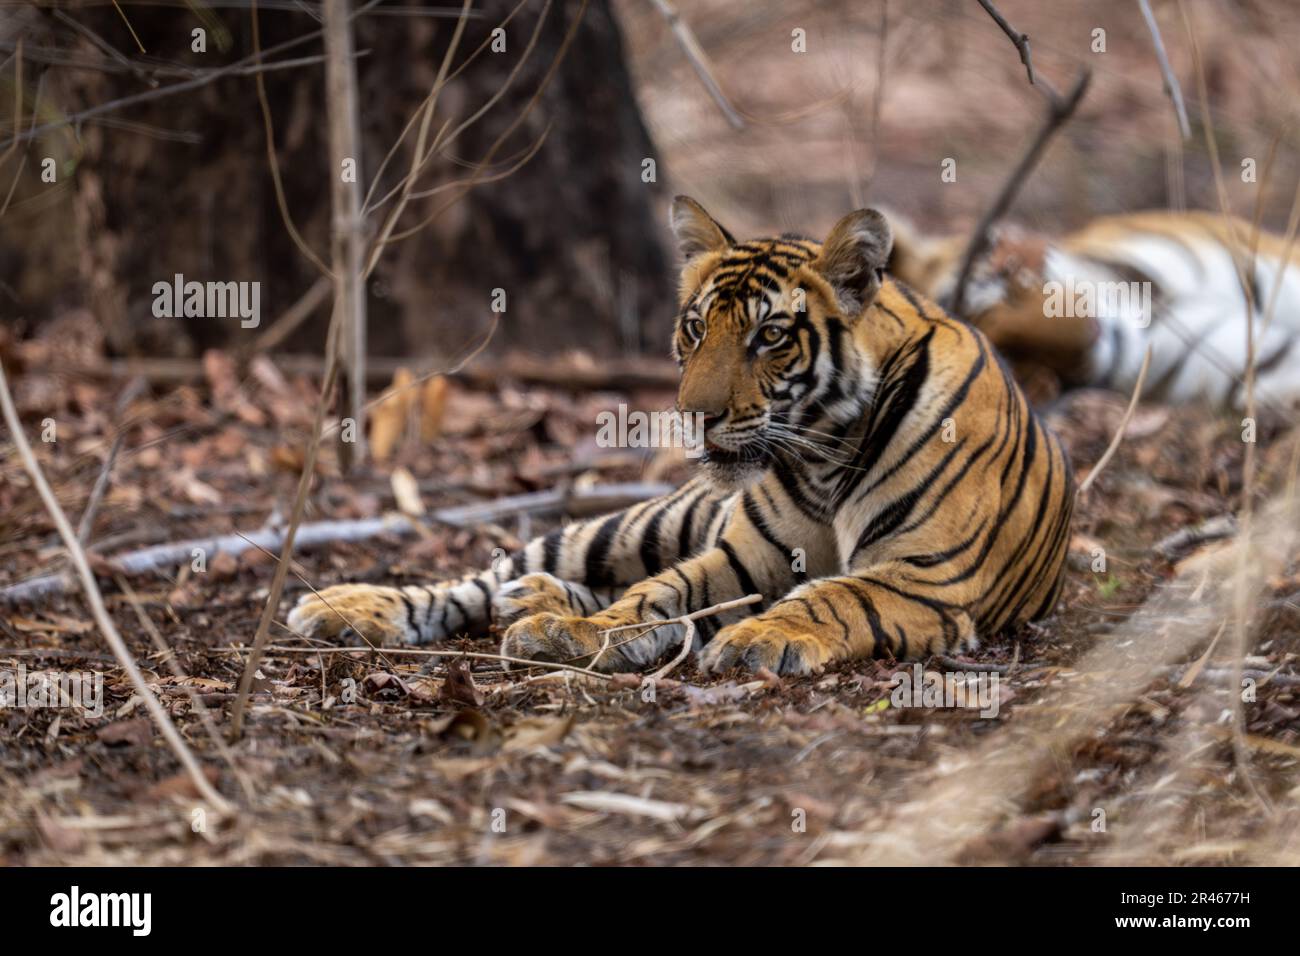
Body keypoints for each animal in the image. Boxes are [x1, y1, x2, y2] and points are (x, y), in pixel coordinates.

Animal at [288, 197, 1074, 675]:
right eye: (696, 327)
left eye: (770, 336)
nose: (695, 413)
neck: (823, 455)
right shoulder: (743, 555)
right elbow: (659, 590)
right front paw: (589, 634)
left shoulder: (925, 577)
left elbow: (831, 597)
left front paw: (761, 638)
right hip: (635, 523)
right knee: (482, 577)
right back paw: (355, 607)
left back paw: (538, 602)